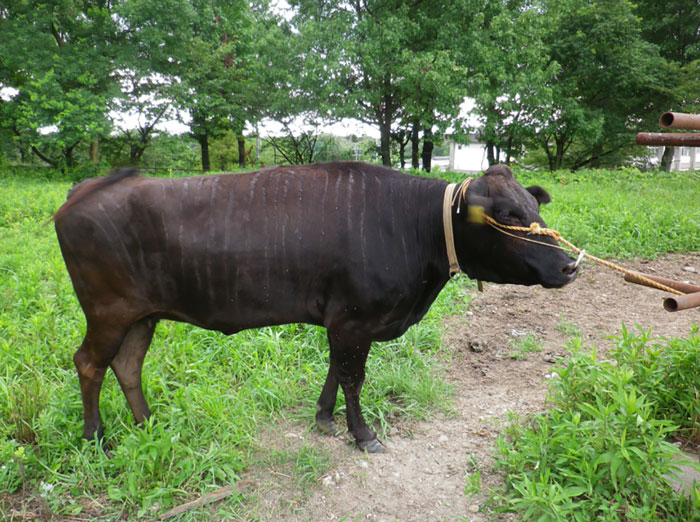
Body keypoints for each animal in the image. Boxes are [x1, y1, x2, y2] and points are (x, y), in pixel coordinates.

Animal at [54, 160, 576, 448]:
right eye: (507, 215)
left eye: (534, 208)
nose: (571, 264)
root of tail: (89, 186)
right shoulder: (355, 319)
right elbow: (353, 377)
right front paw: (362, 435)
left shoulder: (341, 320)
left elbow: (335, 371)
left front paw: (325, 419)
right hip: (108, 311)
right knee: (89, 363)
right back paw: (96, 438)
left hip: (141, 315)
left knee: (127, 364)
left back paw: (148, 425)